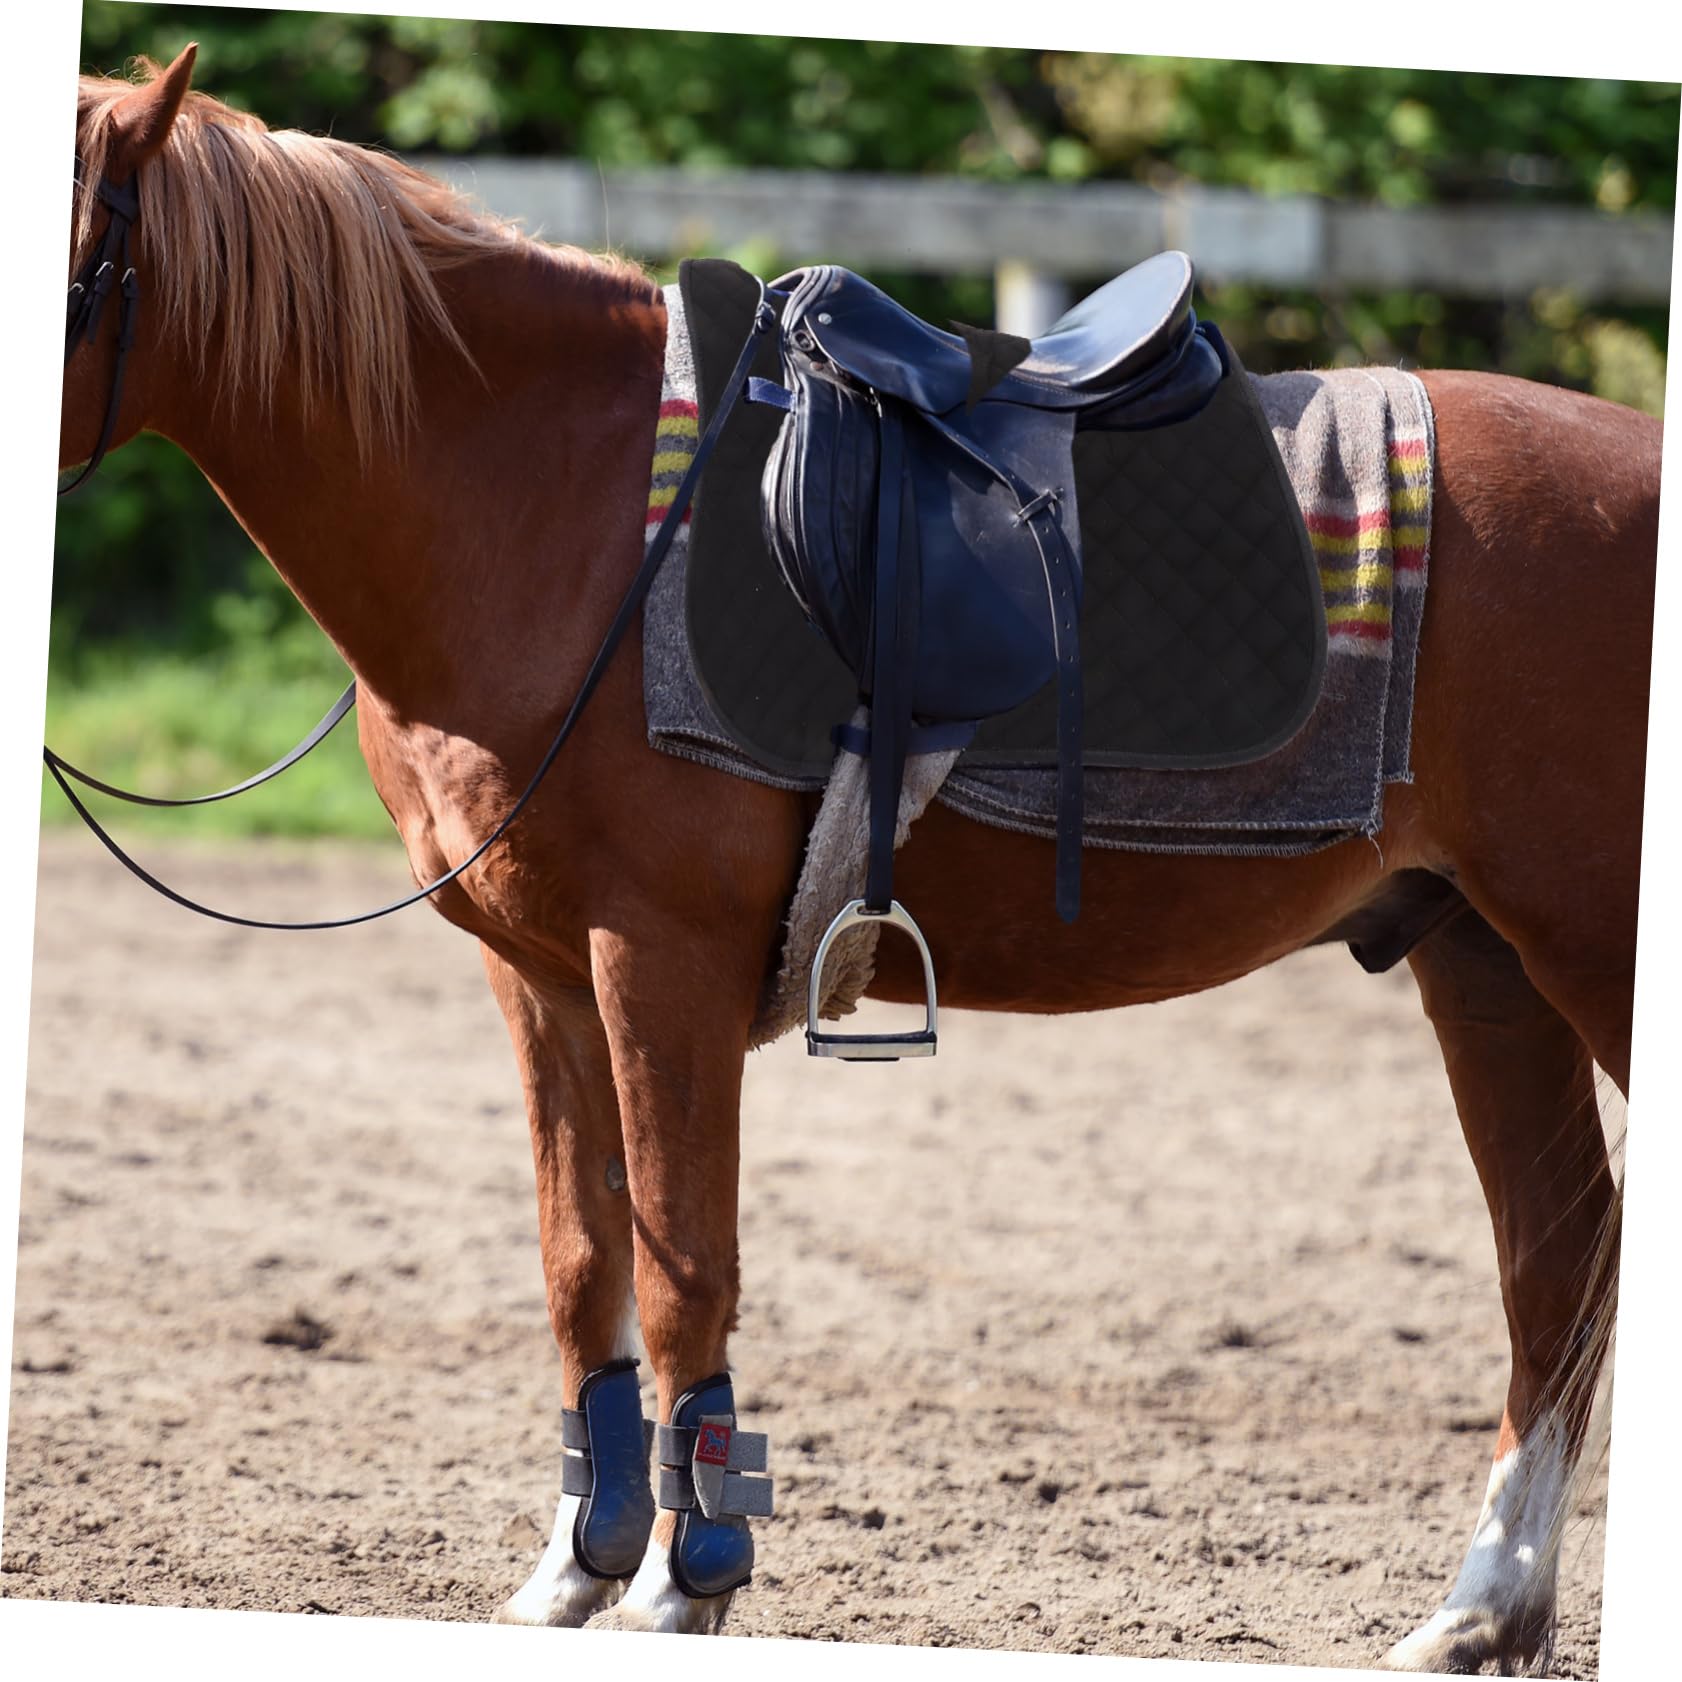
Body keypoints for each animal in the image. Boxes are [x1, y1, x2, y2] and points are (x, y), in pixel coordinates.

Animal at [58, 48, 1649, 1673]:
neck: (553, 507)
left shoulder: (660, 961)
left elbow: (683, 1264)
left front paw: (685, 1572)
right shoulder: (538, 974)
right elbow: (584, 1261)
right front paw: (578, 1564)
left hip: (1588, 949)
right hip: (1483, 960)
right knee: (1554, 1254)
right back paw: (1478, 1604)